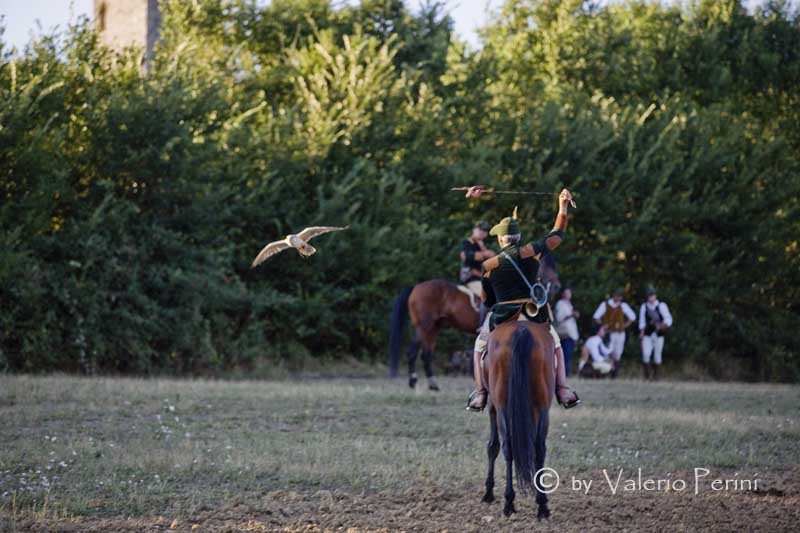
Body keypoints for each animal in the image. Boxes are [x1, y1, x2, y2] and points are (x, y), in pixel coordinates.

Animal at [390, 249, 564, 390]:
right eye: (545, 264)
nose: (556, 287)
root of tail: (415, 287)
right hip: (424, 327)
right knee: (413, 352)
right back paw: (415, 382)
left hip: (433, 328)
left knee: (426, 354)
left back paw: (431, 384)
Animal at [482, 318, 556, 516]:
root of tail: (521, 330)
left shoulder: (493, 406)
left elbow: (493, 446)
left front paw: (489, 492)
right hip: (542, 405)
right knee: (539, 448)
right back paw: (542, 505)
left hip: (501, 405)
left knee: (507, 447)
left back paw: (509, 502)